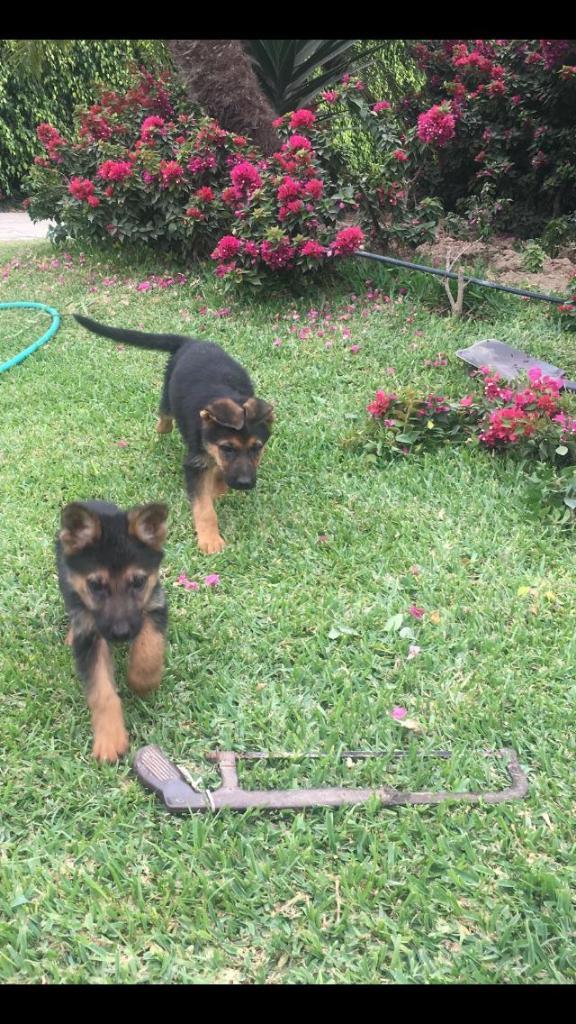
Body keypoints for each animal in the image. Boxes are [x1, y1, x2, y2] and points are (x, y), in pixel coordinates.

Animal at [56, 499, 168, 765]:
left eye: (138, 582)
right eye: (95, 585)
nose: (120, 634)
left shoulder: (154, 604)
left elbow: (149, 647)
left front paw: (142, 682)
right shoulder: (90, 635)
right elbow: (102, 691)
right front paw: (110, 739)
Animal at [73, 315, 272, 557]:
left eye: (257, 448)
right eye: (227, 448)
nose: (244, 484)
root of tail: (193, 342)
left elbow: (218, 476)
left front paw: (218, 489)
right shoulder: (195, 462)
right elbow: (204, 507)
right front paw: (210, 539)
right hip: (168, 392)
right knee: (165, 415)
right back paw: (162, 427)